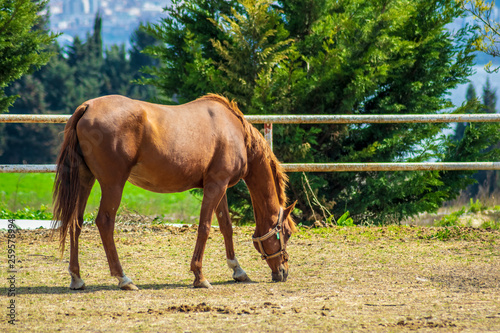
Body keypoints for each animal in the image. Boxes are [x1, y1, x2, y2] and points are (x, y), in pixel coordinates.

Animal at [53, 93, 296, 288]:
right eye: (287, 233)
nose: (283, 272)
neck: (235, 132)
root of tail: (87, 107)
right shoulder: (216, 186)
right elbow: (204, 227)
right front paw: (199, 276)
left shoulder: (220, 186)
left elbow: (226, 226)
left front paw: (237, 269)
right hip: (113, 184)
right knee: (104, 222)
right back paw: (123, 278)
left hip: (85, 180)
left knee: (76, 222)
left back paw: (77, 278)